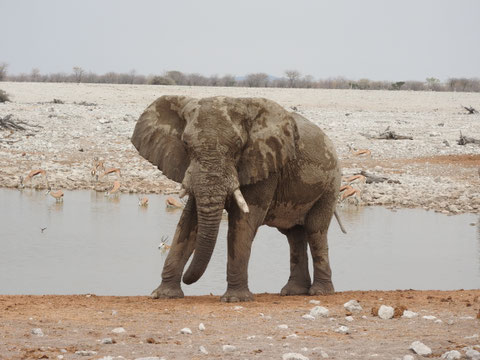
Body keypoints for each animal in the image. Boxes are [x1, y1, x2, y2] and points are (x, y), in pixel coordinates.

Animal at [130, 95, 342, 300]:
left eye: (238, 146)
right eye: (186, 144)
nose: (187, 279)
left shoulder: (264, 162)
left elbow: (244, 222)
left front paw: (235, 299)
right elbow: (189, 220)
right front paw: (162, 295)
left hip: (331, 184)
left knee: (315, 230)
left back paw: (320, 292)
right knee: (294, 235)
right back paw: (293, 292)